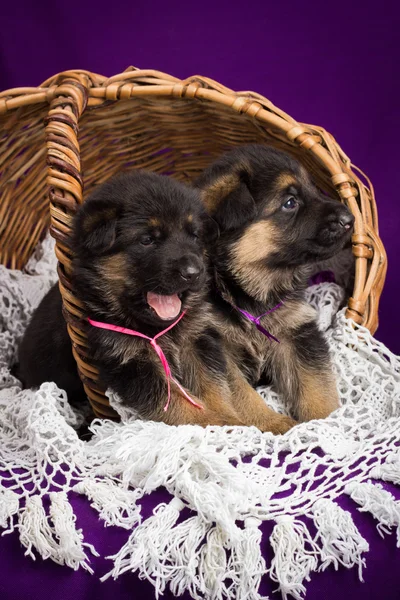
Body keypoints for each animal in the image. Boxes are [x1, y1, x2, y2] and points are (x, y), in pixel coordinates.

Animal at [18, 170, 294, 432]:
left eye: (194, 236)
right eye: (147, 240)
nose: (194, 272)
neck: (157, 329)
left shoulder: (197, 340)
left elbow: (213, 387)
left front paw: (236, 420)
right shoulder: (130, 361)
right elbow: (178, 403)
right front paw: (220, 424)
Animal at [195, 144, 354, 422]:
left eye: (313, 188)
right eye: (290, 203)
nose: (350, 219)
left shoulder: (297, 333)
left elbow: (317, 386)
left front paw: (327, 423)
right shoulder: (215, 347)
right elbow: (242, 396)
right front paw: (277, 424)